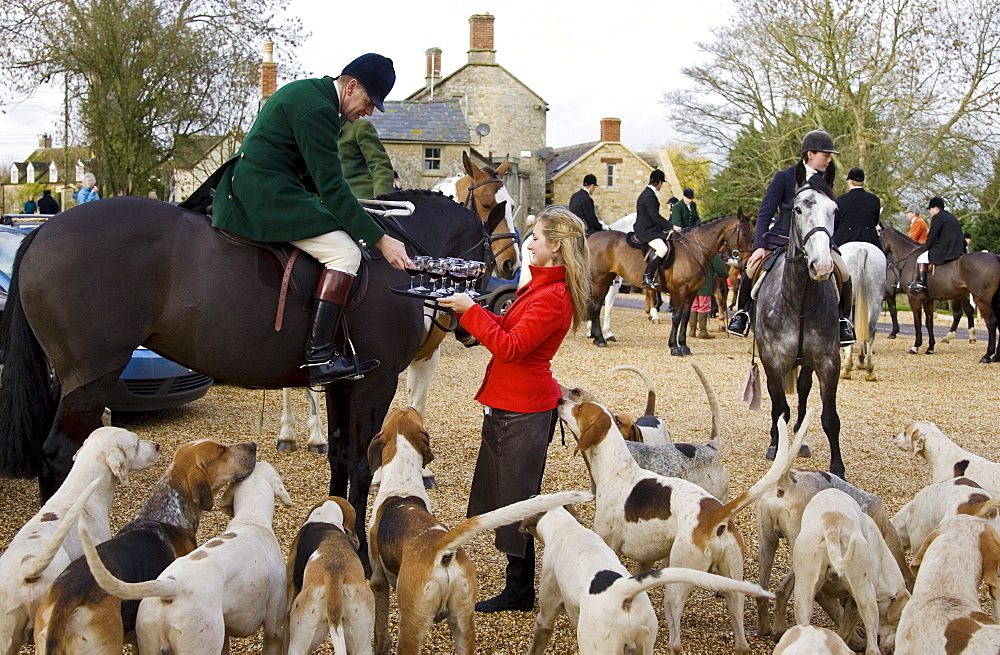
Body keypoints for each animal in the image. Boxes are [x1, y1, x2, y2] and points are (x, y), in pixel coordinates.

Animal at [0, 192, 500, 560]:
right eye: (494, 254)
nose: (469, 328)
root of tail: (44, 229)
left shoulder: (345, 382)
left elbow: (340, 457)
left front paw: (334, 523)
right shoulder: (374, 384)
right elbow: (360, 462)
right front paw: (358, 547)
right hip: (91, 378)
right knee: (59, 456)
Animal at [584, 210, 752, 354]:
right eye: (744, 234)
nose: (746, 263)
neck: (694, 249)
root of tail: (590, 238)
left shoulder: (691, 292)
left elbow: (685, 318)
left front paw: (684, 346)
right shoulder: (680, 290)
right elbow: (676, 317)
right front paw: (674, 347)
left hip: (606, 280)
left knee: (596, 305)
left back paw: (598, 338)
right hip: (599, 280)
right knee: (595, 305)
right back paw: (600, 339)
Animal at [756, 182, 844, 480]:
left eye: (834, 211)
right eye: (797, 209)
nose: (822, 265)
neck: (801, 300)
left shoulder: (828, 361)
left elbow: (830, 417)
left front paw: (838, 470)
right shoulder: (773, 359)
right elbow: (780, 408)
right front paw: (778, 449)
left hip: (806, 362)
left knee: (804, 390)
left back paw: (800, 440)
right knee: (775, 400)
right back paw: (775, 441)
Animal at [884, 228, 1000, 364]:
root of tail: (995, 256)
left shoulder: (912, 298)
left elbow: (914, 321)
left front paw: (915, 346)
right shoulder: (927, 300)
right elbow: (929, 322)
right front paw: (930, 347)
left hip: (981, 300)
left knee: (989, 322)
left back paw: (987, 355)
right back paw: (995, 356)